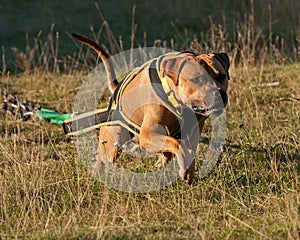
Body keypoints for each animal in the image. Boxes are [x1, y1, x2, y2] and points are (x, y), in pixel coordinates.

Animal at [72, 33, 230, 184]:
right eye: (196, 79)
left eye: (222, 76)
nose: (218, 93)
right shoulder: (147, 135)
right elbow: (177, 144)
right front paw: (185, 167)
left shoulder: (192, 133)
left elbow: (187, 149)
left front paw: (187, 170)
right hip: (112, 142)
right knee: (104, 158)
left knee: (164, 155)